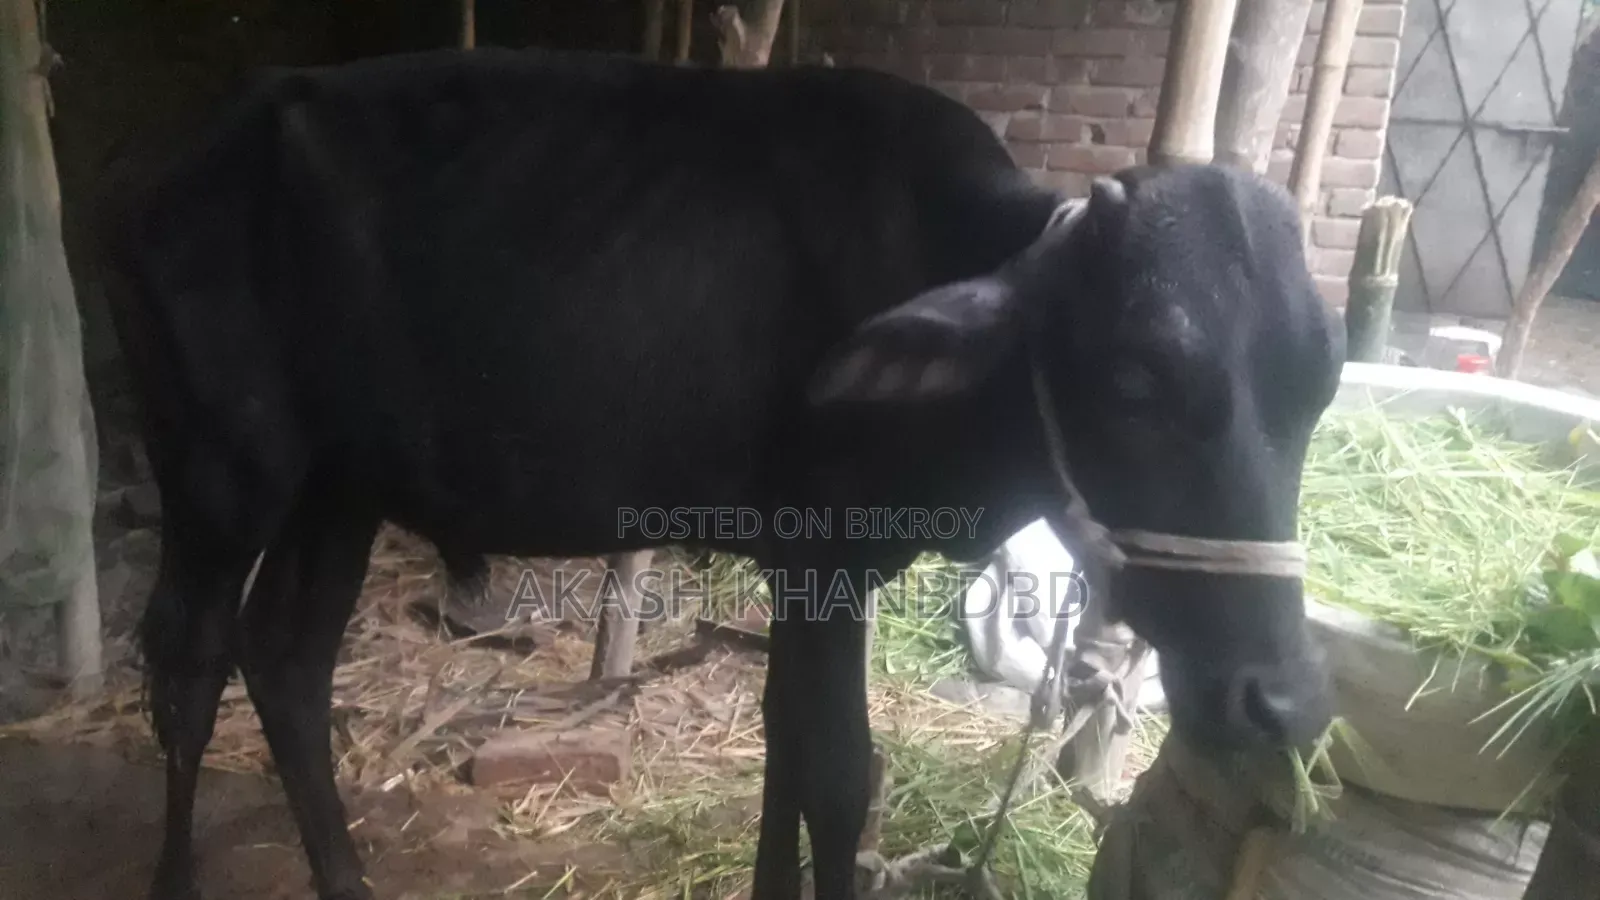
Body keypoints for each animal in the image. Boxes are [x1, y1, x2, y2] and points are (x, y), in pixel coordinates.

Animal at [97, 45, 1344, 900]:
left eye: (1322, 382)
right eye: (1136, 378)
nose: (1279, 698)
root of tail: (179, 173)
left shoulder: (805, 570)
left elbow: (787, 751)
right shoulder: (826, 548)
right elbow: (837, 775)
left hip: (340, 489)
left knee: (287, 662)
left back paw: (345, 876)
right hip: (221, 473)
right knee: (188, 662)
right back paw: (175, 875)